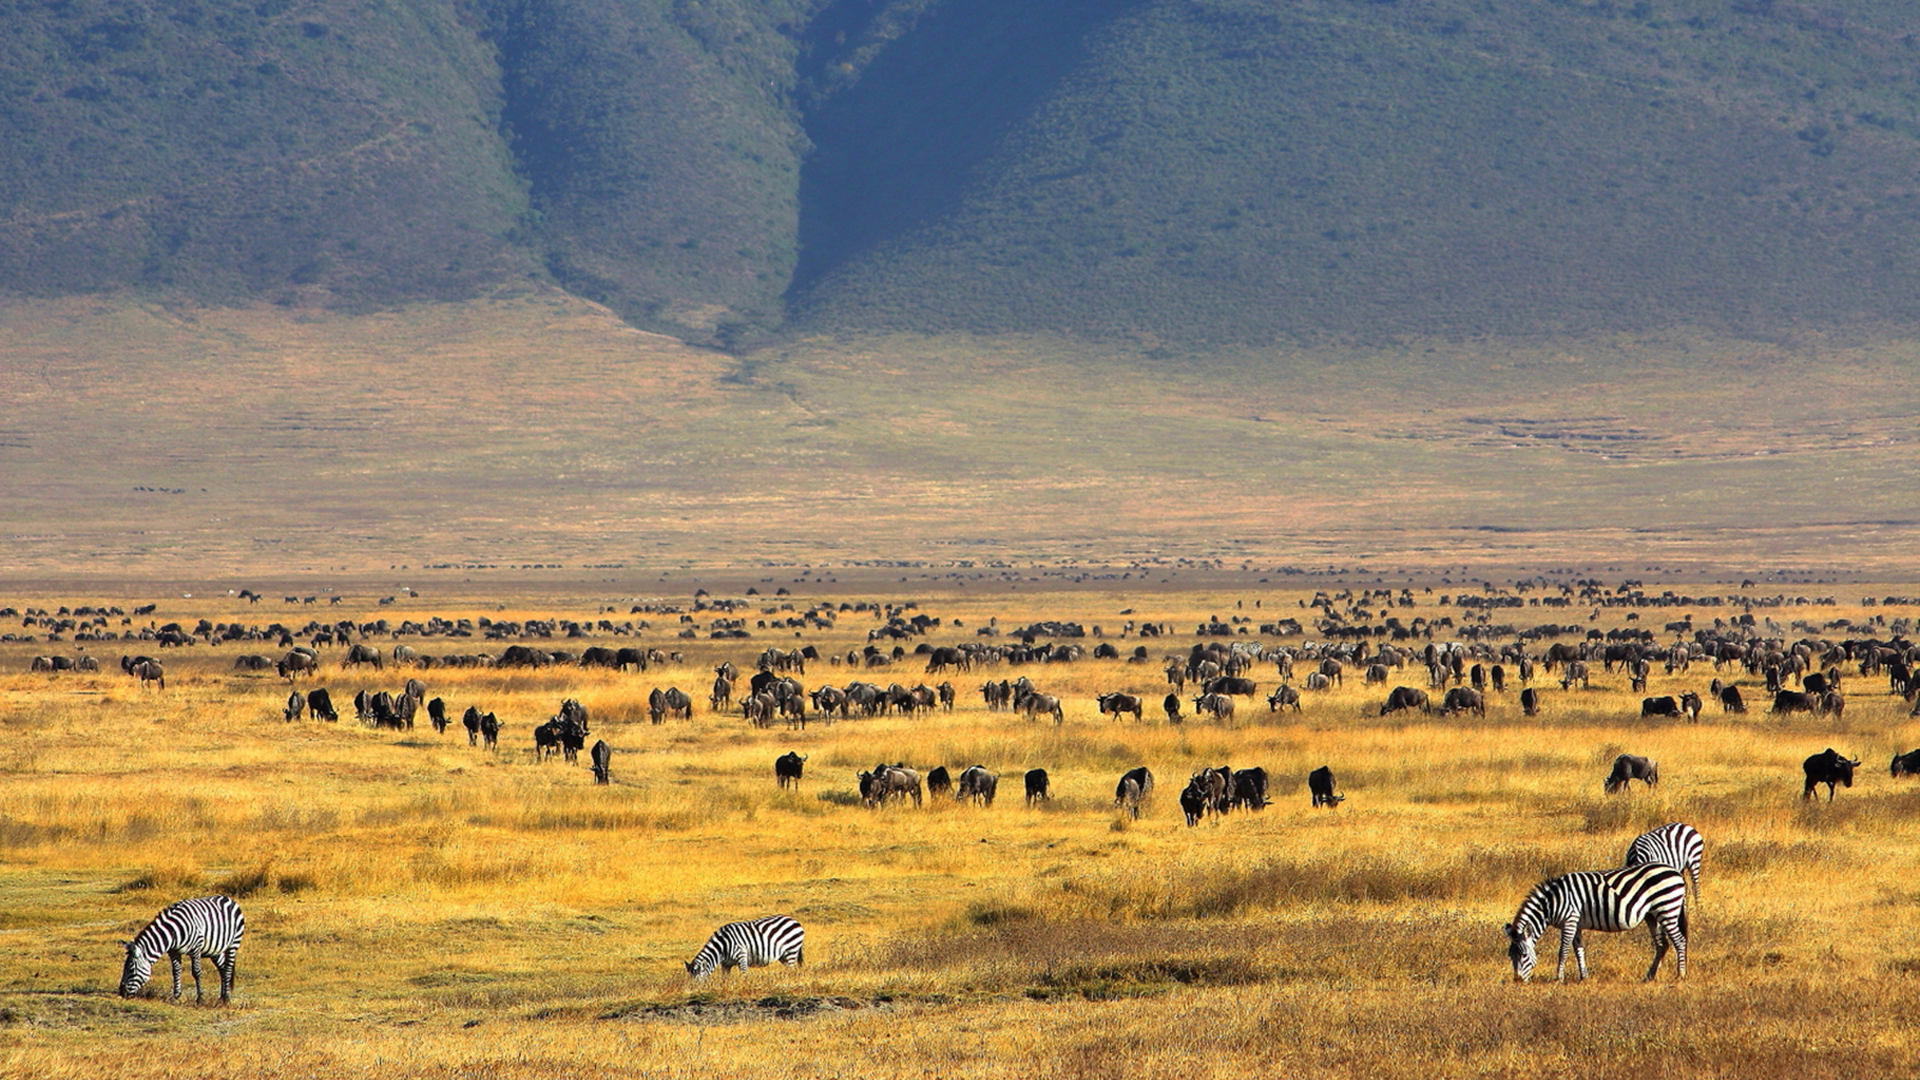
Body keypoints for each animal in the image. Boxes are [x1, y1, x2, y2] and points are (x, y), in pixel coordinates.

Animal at [1505, 860, 1689, 980]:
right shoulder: (1576, 924)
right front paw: (1583, 977)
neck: (1552, 902)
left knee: (1679, 940)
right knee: (1662, 944)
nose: (1517, 980)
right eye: (1510, 956)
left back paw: (1680, 975)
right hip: (1652, 915)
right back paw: (1649, 976)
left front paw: (1559, 978)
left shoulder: (1569, 920)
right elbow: (1579, 950)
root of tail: (1675, 872)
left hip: (1667, 908)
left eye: (1523, 955)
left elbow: (1563, 951)